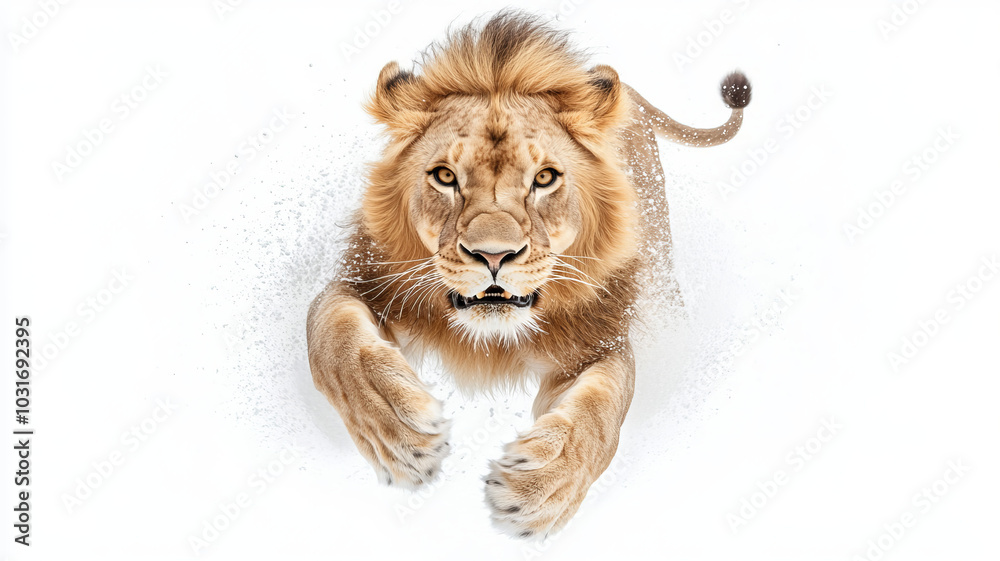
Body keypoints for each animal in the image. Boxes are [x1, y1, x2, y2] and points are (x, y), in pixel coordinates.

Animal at [307, 11, 750, 538]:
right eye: (445, 176)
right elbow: (331, 333)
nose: (493, 255)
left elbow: (602, 410)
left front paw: (540, 490)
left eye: (544, 179)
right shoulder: (367, 287)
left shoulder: (599, 341)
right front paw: (400, 431)